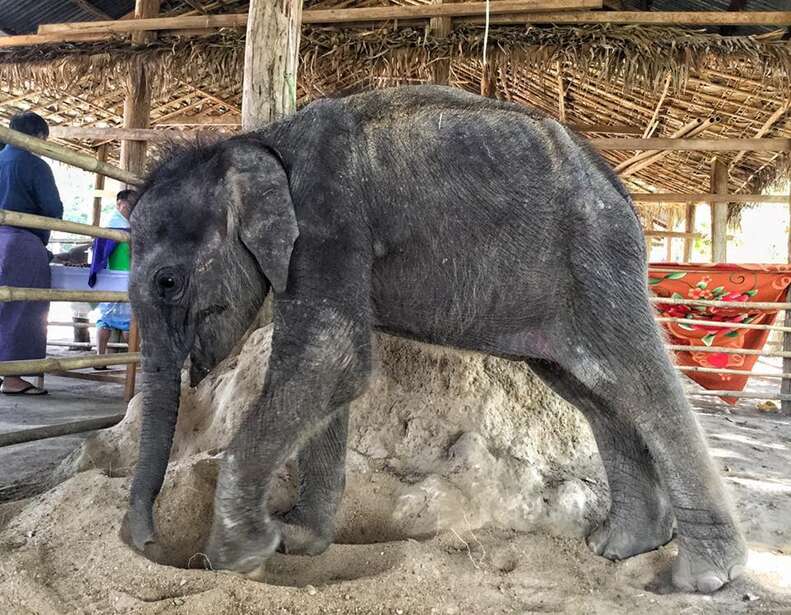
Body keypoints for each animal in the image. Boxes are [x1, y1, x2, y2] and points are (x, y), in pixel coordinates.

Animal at [125, 85, 748, 592]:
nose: (145, 543)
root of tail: (619, 187)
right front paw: (298, 541)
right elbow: (327, 376)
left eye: (168, 282)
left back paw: (704, 576)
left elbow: (332, 359)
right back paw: (621, 547)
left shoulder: (330, 220)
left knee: (637, 381)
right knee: (595, 393)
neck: (254, 142)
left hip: (598, 260)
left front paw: (240, 557)